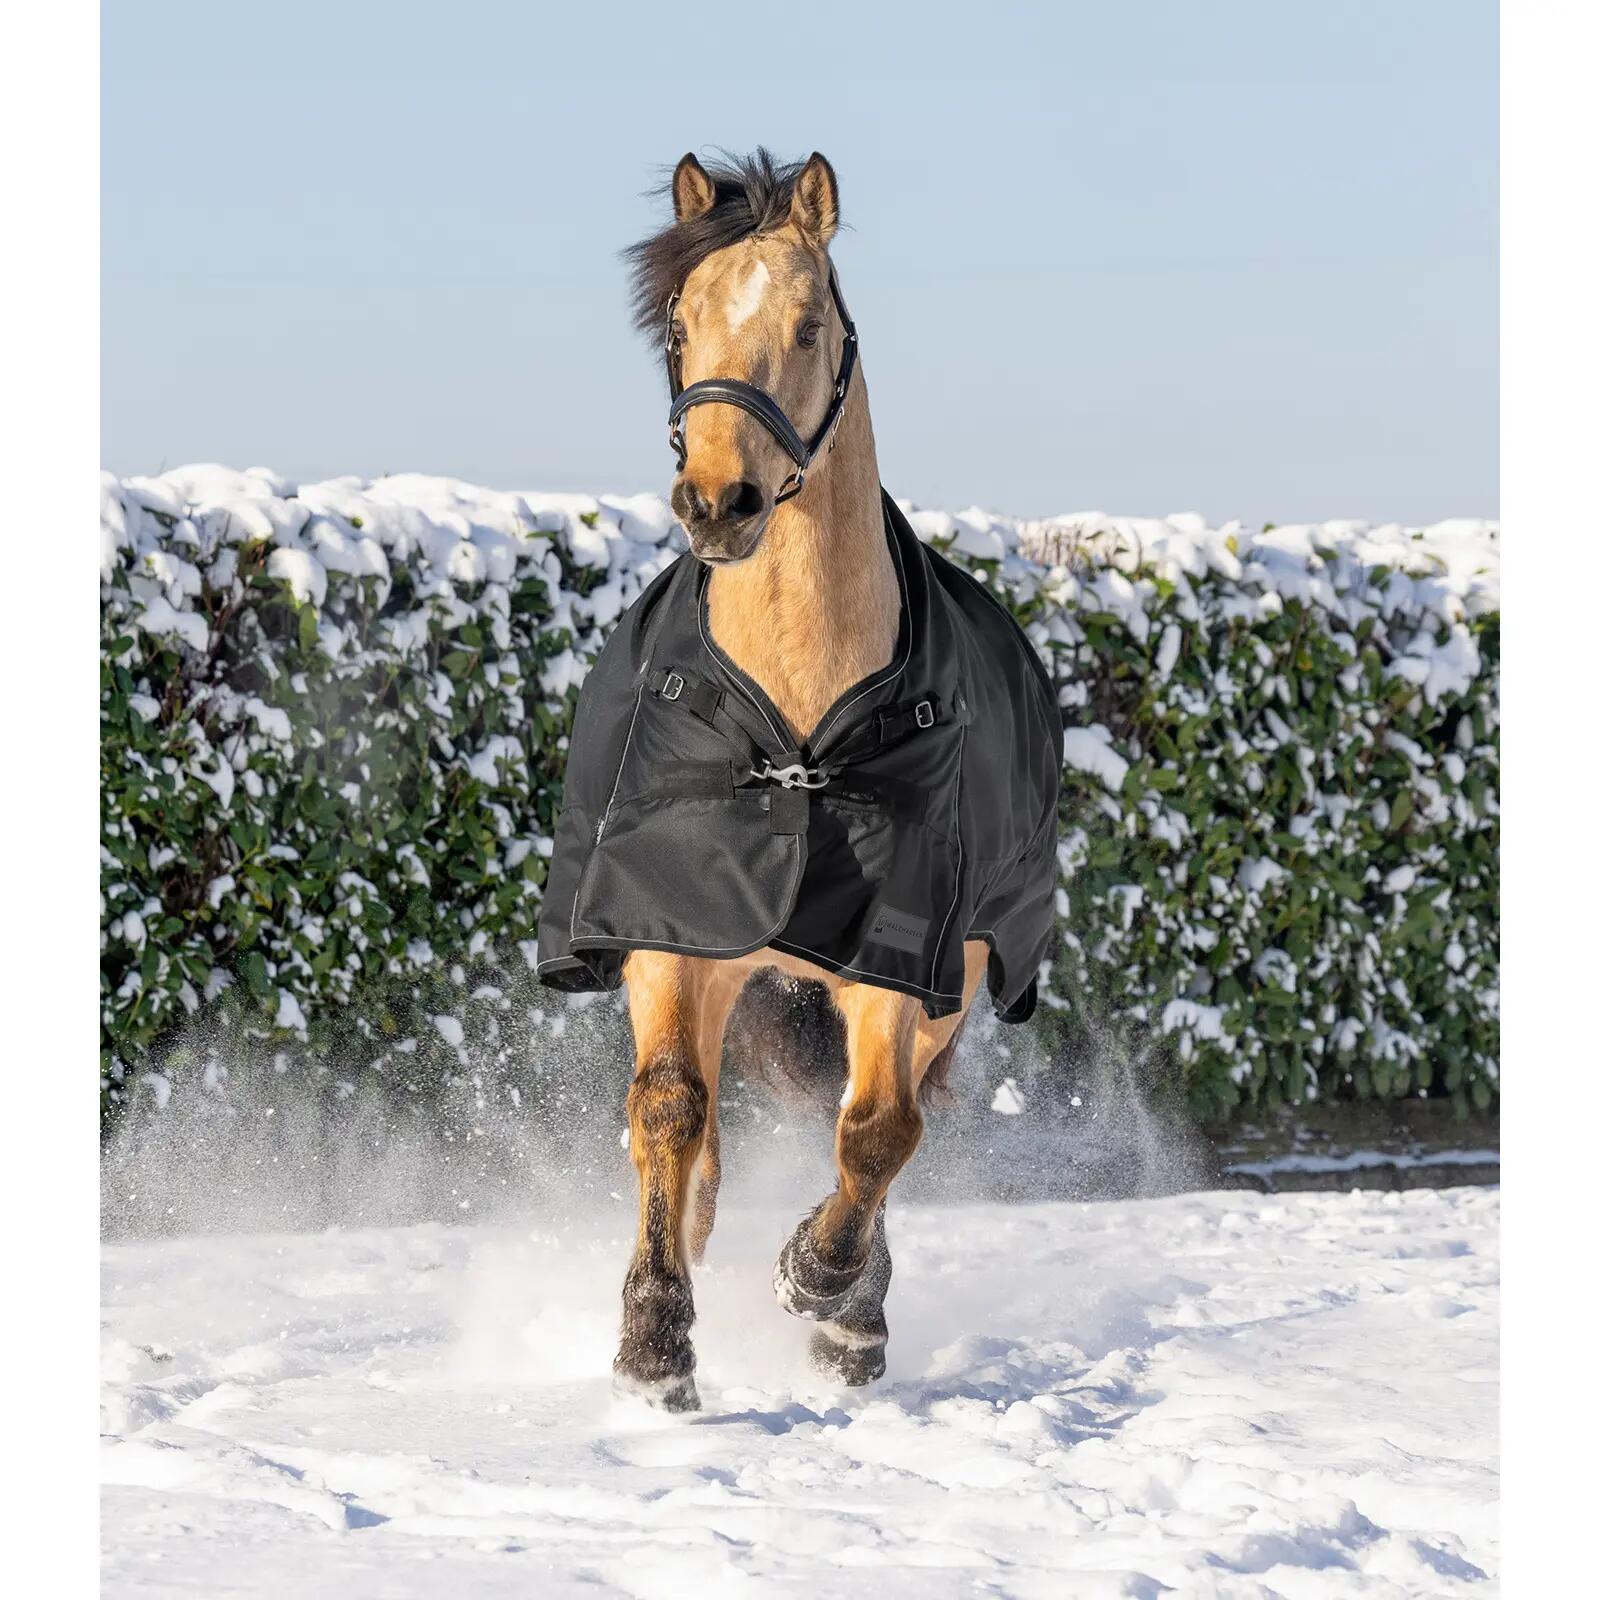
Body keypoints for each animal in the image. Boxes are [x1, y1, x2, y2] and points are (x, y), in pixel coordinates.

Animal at [537, 149, 1060, 1411]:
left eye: (809, 323)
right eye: (679, 323)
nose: (717, 503)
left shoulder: (902, 956)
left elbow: (876, 1131)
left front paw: (824, 1291)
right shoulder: (670, 932)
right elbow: (669, 1108)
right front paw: (654, 1343)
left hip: (958, 977)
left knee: (882, 1121)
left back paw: (851, 1308)